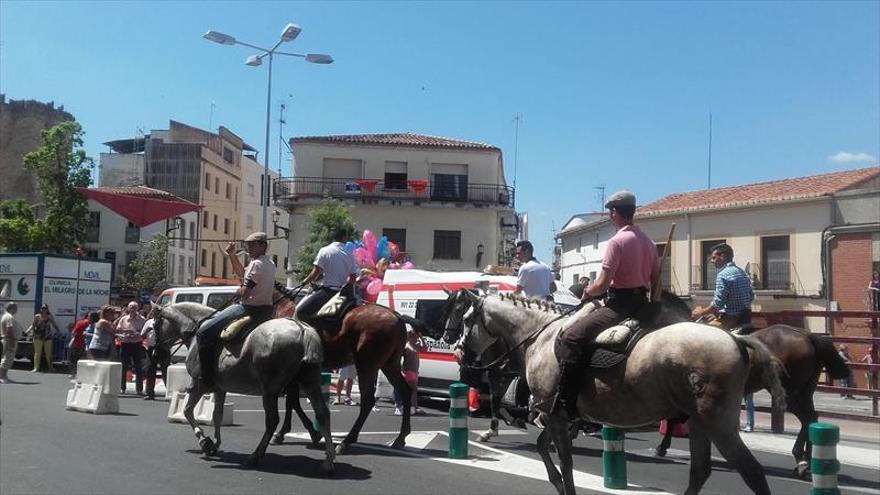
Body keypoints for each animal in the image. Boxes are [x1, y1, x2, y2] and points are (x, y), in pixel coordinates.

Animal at [151, 302, 334, 472]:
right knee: (323, 414)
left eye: (154, 325)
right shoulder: (220, 388)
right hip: (309, 383)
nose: (156, 353)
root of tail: (302, 329)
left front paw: (205, 442)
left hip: (270, 390)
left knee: (272, 420)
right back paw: (328, 461)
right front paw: (215, 444)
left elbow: (187, 411)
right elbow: (217, 415)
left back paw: (255, 456)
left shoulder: (198, 384)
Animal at [272, 286, 416, 458]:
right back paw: (401, 438)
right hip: (389, 365)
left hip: (367, 366)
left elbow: (292, 401)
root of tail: (397, 317)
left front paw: (284, 433)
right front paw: (310, 432)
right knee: (405, 391)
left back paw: (346, 442)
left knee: (368, 401)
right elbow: (292, 401)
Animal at [440, 288, 784, 495]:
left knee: (752, 472)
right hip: (700, 423)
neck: (542, 334)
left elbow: (565, 462)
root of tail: (735, 338)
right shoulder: (555, 414)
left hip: (717, 423)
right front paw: (557, 483)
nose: (458, 352)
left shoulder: (556, 416)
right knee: (700, 472)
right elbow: (542, 449)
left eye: (466, 317)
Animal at [652, 324, 852, 478]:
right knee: (811, 420)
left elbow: (672, 420)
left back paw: (802, 461)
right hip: (803, 392)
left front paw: (662, 447)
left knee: (808, 419)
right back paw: (806, 462)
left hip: (791, 394)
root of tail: (808, 336)